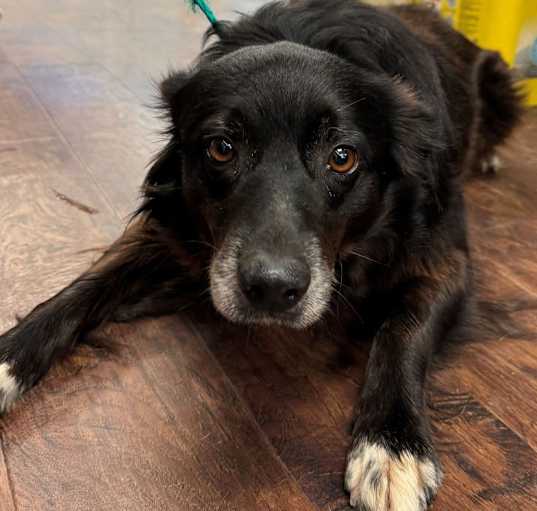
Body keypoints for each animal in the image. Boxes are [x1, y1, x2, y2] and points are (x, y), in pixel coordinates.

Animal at [0, 0, 520, 510]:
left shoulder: (443, 256)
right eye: (221, 148)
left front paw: (391, 446)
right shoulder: (169, 229)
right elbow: (83, 289)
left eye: (342, 157)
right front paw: (8, 359)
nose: (271, 289)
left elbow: (402, 330)